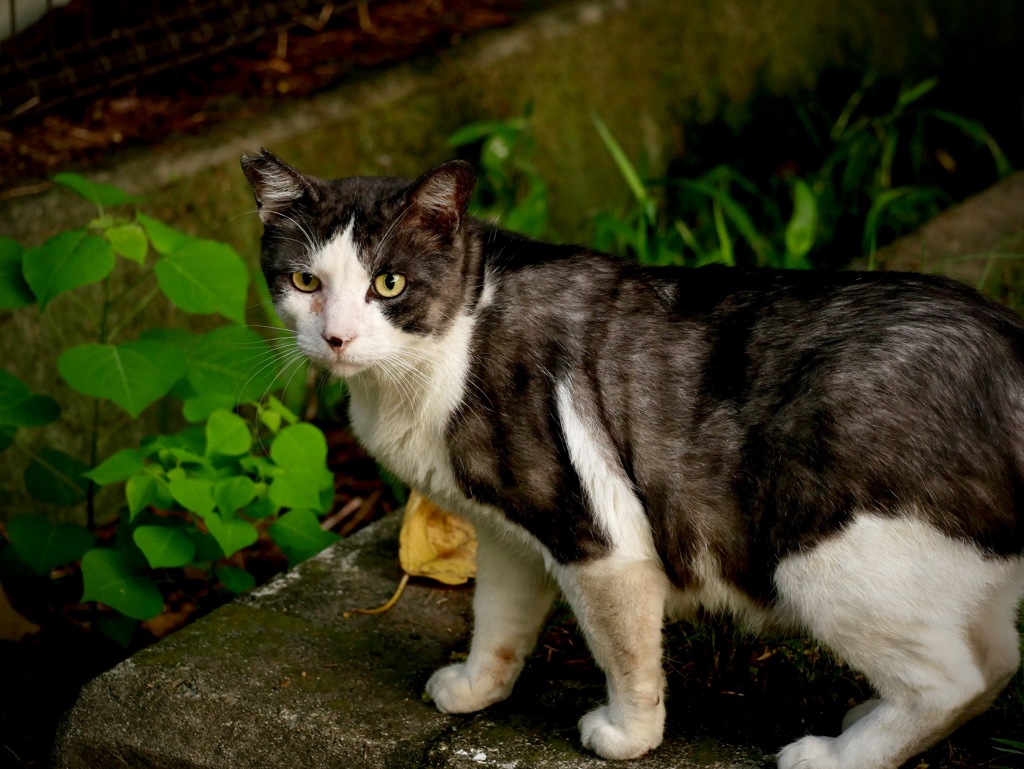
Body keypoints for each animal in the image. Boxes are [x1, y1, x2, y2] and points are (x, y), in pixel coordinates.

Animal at [239, 150, 1024, 769]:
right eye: (305, 283)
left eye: (390, 284)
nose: (336, 338)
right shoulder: (507, 534)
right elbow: (498, 620)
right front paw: (476, 687)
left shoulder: (597, 535)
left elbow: (624, 652)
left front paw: (627, 735)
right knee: (996, 660)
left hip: (825, 557)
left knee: (951, 680)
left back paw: (833, 755)